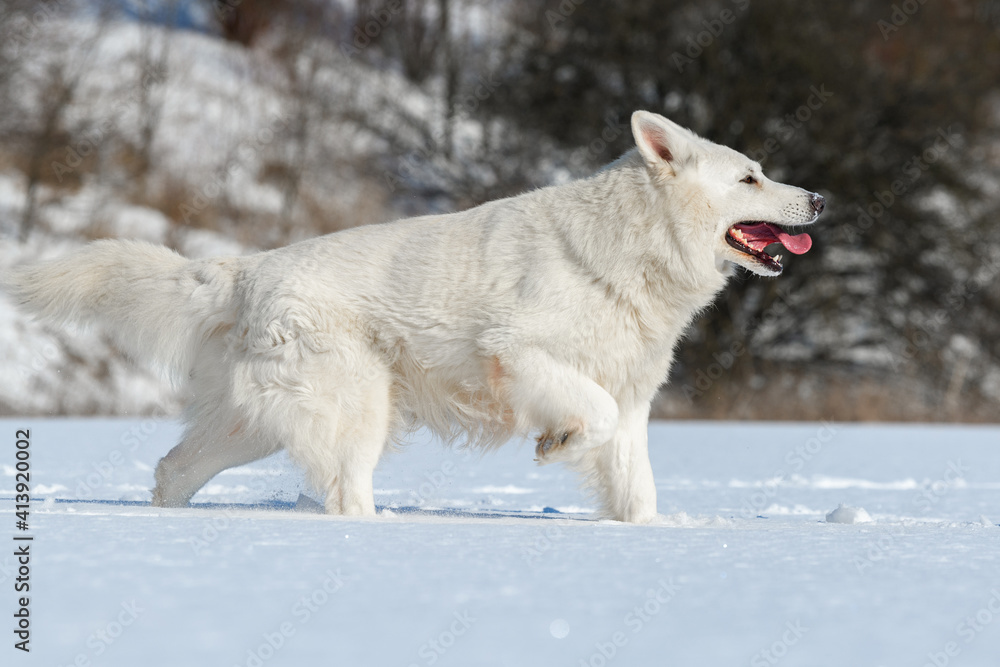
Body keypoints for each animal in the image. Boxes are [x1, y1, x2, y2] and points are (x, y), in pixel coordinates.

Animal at [7, 112, 820, 524]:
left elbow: (635, 483)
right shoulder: (522, 356)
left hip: (253, 423)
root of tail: (246, 270)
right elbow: (587, 413)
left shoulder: (631, 397)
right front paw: (555, 443)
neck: (629, 248)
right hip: (355, 406)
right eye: (750, 177)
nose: (818, 200)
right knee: (344, 490)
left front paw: (642, 534)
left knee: (174, 467)